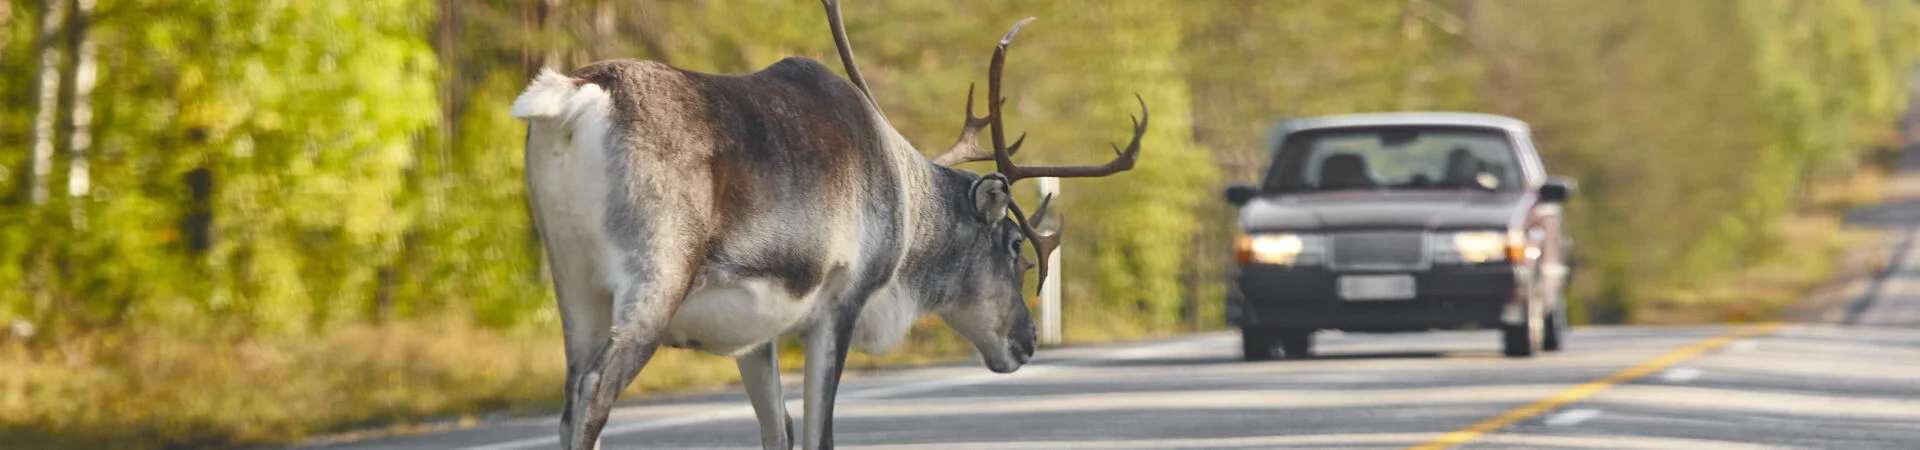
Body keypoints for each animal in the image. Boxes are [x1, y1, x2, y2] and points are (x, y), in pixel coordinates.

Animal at [509, 1, 1144, 448]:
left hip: (573, 284)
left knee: (570, 401)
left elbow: (779, 429)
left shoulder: (753, 334)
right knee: (594, 395)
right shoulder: (841, 302)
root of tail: (570, 98)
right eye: (1016, 245)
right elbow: (820, 433)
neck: (908, 209)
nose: (1029, 340)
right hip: (655, 279)